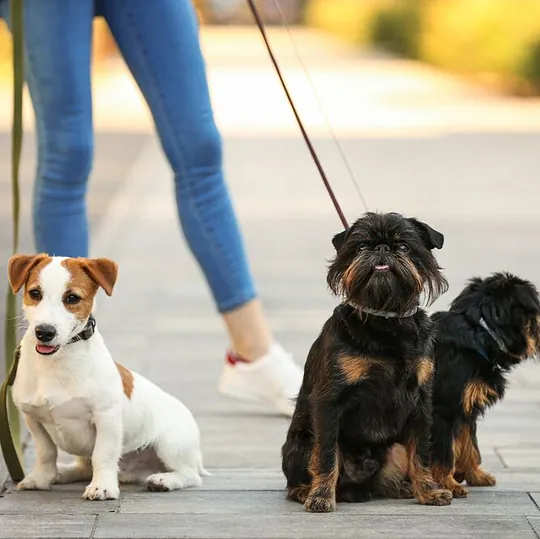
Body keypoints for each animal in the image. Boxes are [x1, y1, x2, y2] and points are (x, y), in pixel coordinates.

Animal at [7, 254, 208, 502]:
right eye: (35, 293)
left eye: (72, 298)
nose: (44, 332)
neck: (57, 362)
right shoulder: (33, 419)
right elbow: (46, 453)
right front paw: (41, 479)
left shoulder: (106, 418)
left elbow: (102, 455)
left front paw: (102, 487)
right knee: (84, 467)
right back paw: (61, 473)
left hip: (170, 444)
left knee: (190, 475)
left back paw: (164, 480)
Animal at [280, 212, 454, 516]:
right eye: (361, 247)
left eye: (404, 246)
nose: (382, 248)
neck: (386, 321)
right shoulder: (329, 403)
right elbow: (326, 456)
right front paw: (321, 497)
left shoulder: (421, 404)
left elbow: (421, 453)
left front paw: (429, 491)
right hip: (301, 444)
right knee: (304, 471)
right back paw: (305, 490)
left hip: (394, 449)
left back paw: (404, 488)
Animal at [430, 272, 540, 500]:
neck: (482, 331)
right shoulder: (444, 411)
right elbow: (445, 452)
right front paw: (449, 483)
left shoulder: (465, 408)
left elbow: (469, 444)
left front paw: (474, 474)